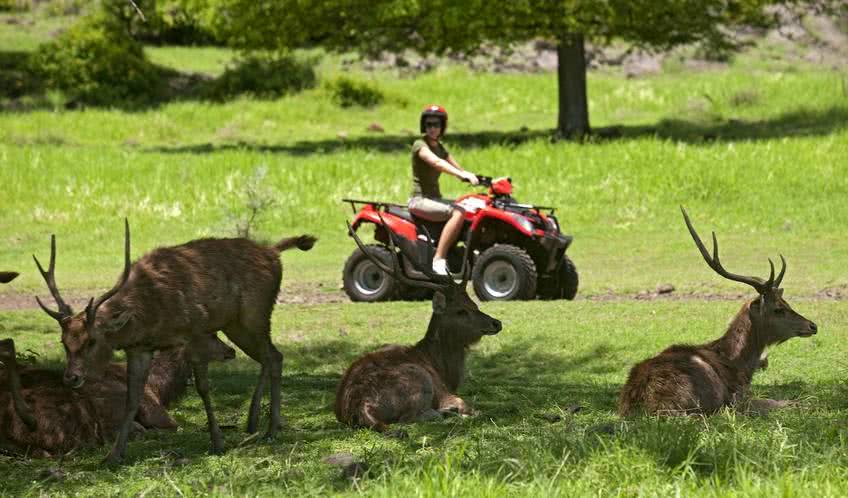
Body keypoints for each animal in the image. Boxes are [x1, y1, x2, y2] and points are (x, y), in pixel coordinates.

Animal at [32, 222, 318, 462]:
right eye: (63, 341)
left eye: (92, 340)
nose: (71, 377)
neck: (152, 315)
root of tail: (273, 252)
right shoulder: (139, 349)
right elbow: (132, 398)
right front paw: (113, 456)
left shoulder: (196, 332)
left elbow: (203, 388)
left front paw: (217, 442)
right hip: (235, 324)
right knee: (270, 356)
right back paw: (253, 422)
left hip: (255, 314)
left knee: (275, 356)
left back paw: (271, 430)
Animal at [334, 220, 500, 434]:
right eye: (461, 311)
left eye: (474, 304)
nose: (496, 323)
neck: (442, 369)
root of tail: (361, 407)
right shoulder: (443, 391)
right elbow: (470, 407)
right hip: (417, 378)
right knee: (410, 418)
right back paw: (448, 413)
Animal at [620, 206, 820, 416]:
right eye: (778, 309)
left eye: (786, 302)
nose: (812, 325)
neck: (740, 367)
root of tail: (642, 404)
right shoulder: (739, 398)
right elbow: (787, 402)